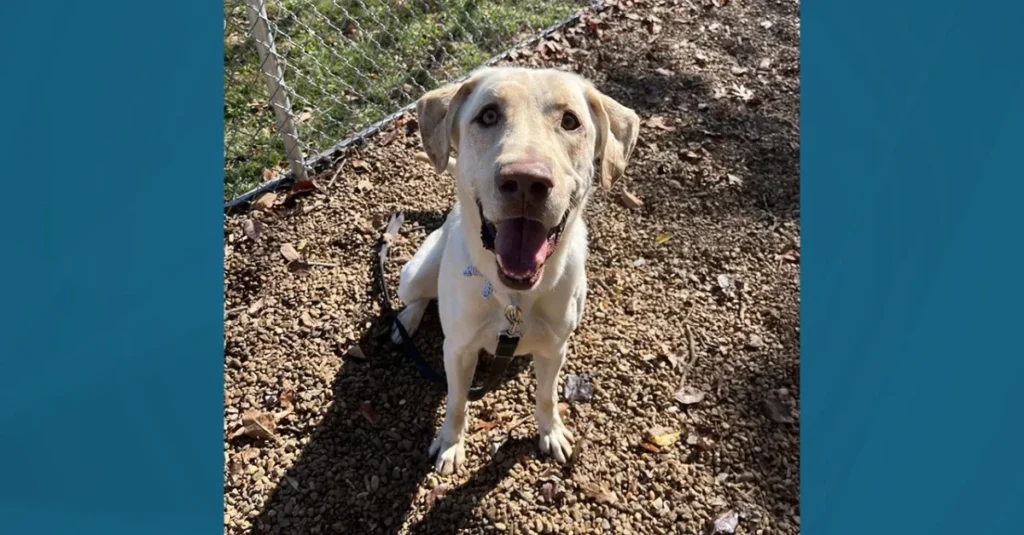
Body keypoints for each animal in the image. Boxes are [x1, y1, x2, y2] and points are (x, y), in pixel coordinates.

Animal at [393, 65, 638, 471]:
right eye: (488, 115)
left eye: (569, 121)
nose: (526, 181)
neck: (513, 296)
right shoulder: (457, 350)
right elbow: (457, 402)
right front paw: (450, 444)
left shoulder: (554, 350)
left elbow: (547, 396)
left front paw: (551, 432)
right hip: (413, 276)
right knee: (417, 297)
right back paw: (406, 321)